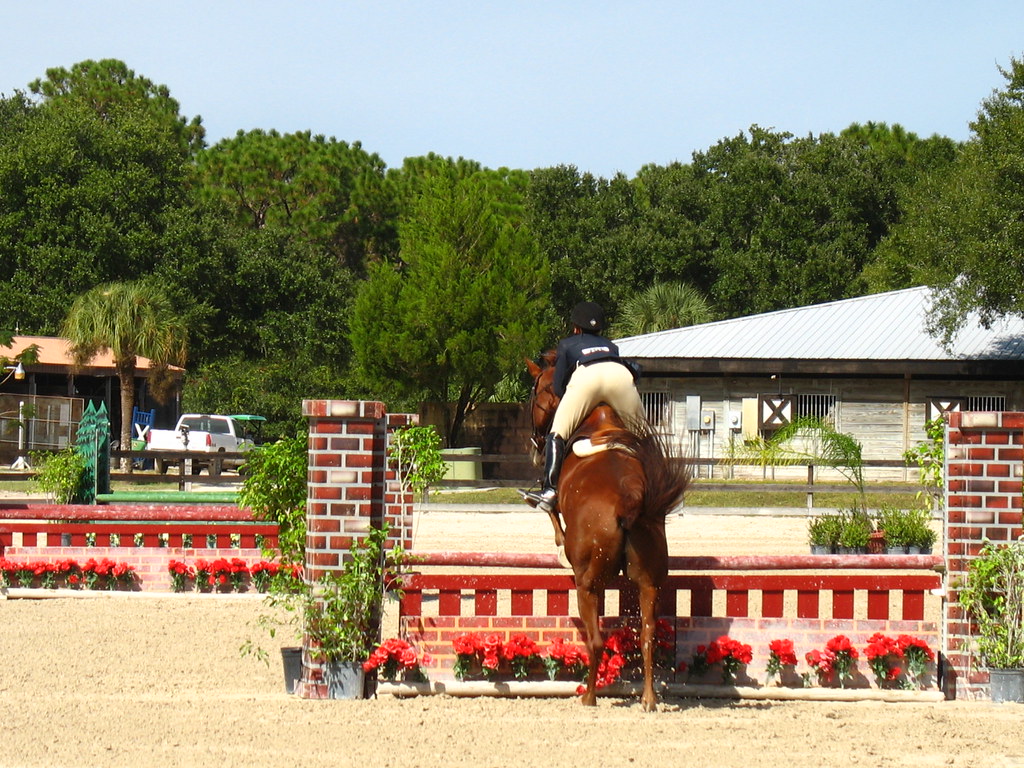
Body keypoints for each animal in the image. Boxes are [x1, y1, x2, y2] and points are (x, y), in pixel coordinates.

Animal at [526, 352, 689, 711]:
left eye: (536, 391)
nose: (536, 442)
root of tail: (629, 500)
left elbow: (551, 509)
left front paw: (558, 541)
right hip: (649, 580)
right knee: (647, 635)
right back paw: (648, 699)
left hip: (587, 582)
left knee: (596, 640)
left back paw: (588, 697)